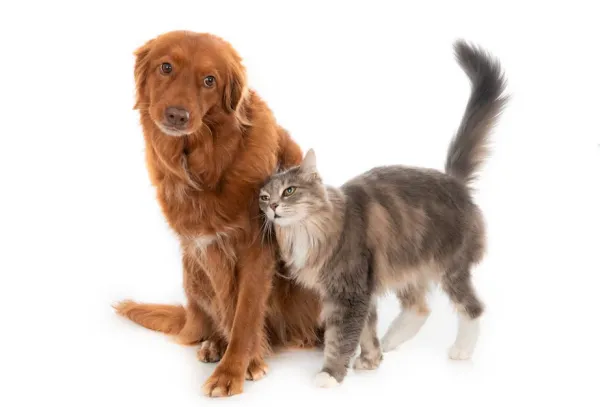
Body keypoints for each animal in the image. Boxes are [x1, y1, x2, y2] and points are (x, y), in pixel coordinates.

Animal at [116, 31, 324, 398]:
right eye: (165, 67)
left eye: (209, 80)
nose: (177, 115)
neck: (207, 165)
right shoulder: (206, 245)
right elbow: (230, 310)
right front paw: (245, 361)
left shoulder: (257, 248)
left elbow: (245, 313)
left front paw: (234, 371)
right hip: (191, 271)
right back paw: (214, 343)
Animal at [258, 41, 506, 388]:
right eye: (264, 197)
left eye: (290, 191)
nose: (273, 208)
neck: (306, 232)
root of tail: (453, 182)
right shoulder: (363, 288)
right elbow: (366, 330)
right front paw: (372, 359)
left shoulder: (349, 292)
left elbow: (340, 338)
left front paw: (330, 375)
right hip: (406, 264)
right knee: (419, 309)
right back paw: (391, 341)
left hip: (450, 267)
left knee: (472, 308)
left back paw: (461, 350)